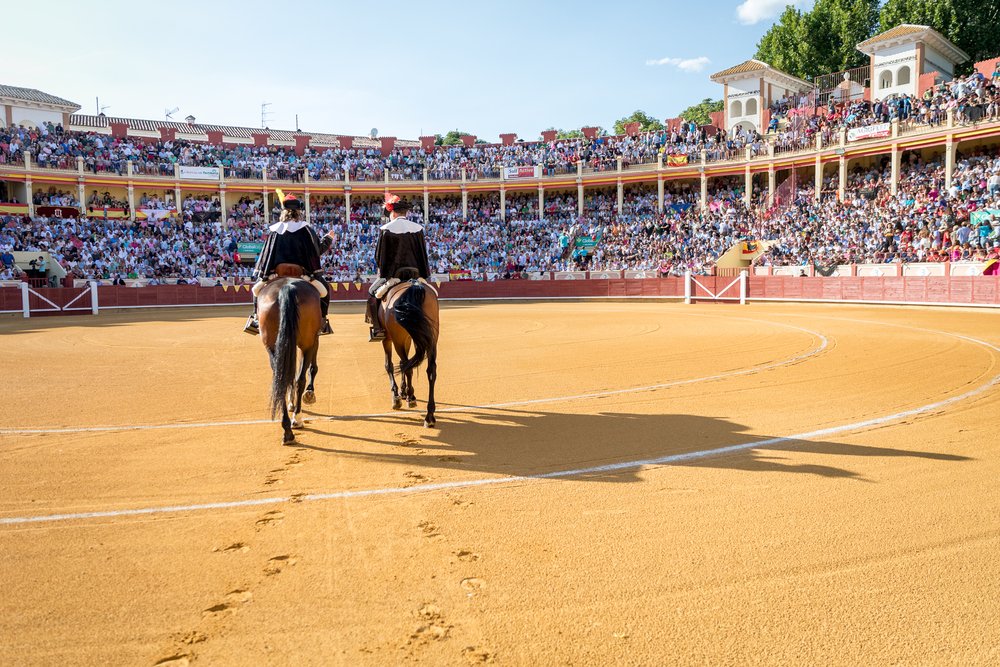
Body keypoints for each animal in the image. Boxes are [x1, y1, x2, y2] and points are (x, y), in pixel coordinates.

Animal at [260, 274, 322, 446]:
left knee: (283, 378)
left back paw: (288, 429)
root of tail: (287, 286)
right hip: (305, 343)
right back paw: (295, 420)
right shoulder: (313, 340)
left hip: (275, 346)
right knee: (295, 378)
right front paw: (308, 393)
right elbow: (310, 368)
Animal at [376, 282, 440, 428]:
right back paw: (429, 416)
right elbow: (402, 364)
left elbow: (389, 365)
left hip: (397, 339)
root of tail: (415, 286)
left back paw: (410, 398)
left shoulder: (388, 339)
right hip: (431, 338)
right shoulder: (409, 339)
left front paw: (397, 396)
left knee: (406, 366)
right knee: (430, 370)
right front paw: (403, 391)